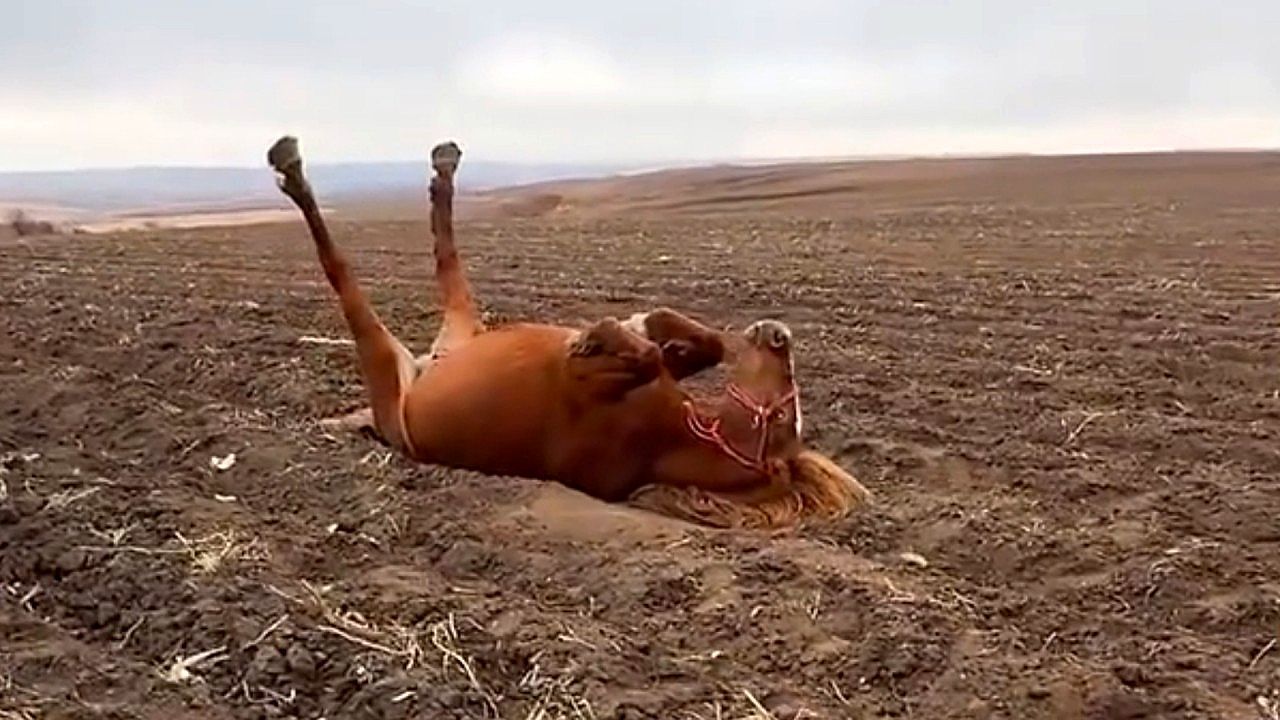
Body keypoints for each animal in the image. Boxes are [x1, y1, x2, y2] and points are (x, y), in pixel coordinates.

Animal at [266, 136, 869, 529]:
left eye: (785, 418)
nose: (779, 336)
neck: (668, 433)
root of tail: (421, 369)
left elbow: (642, 357)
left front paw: (599, 338)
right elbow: (694, 344)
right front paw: (643, 328)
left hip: (384, 359)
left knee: (342, 268)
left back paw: (292, 165)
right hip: (462, 331)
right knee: (447, 257)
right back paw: (444, 167)